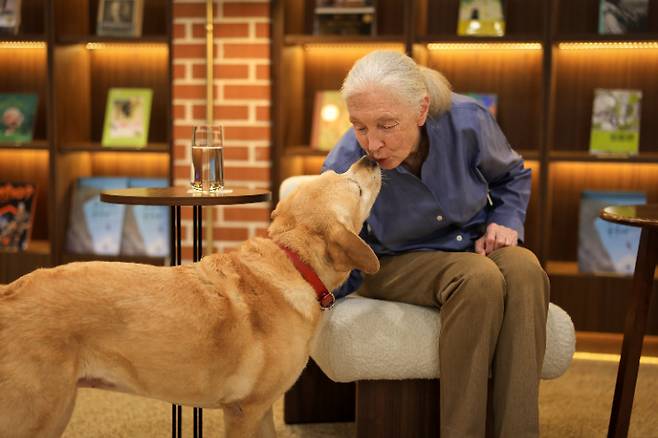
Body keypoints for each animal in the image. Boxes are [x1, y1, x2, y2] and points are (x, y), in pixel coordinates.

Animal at [0, 156, 380, 436]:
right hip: (39, 414)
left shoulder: (263, 411)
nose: (371, 157)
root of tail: (9, 291)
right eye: (354, 186)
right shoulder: (243, 411)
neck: (294, 262)